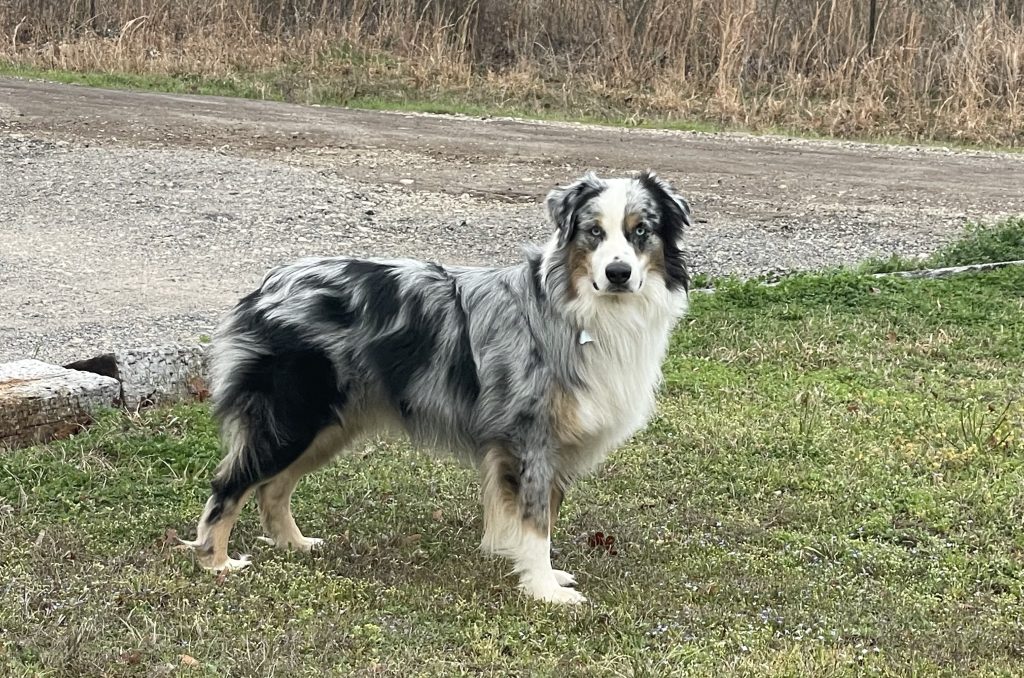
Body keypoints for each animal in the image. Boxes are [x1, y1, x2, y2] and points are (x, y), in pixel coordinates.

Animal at [185, 171, 696, 606]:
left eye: (641, 231)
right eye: (593, 232)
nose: (617, 274)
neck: (581, 311)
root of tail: (267, 286)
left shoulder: (548, 447)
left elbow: (541, 513)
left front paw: (537, 573)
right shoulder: (529, 439)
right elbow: (536, 523)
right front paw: (545, 590)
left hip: (328, 426)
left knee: (273, 488)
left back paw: (295, 544)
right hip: (292, 419)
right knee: (229, 485)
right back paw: (216, 562)